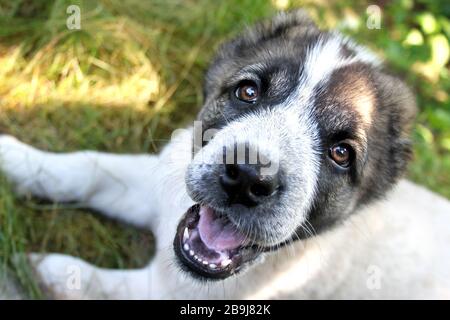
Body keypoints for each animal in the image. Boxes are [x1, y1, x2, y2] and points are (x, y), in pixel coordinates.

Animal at [2, 10, 450, 300]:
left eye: (341, 153)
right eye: (248, 91)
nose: (249, 178)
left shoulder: (167, 292)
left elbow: (102, 285)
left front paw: (51, 272)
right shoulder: (159, 181)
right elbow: (89, 168)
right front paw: (15, 158)